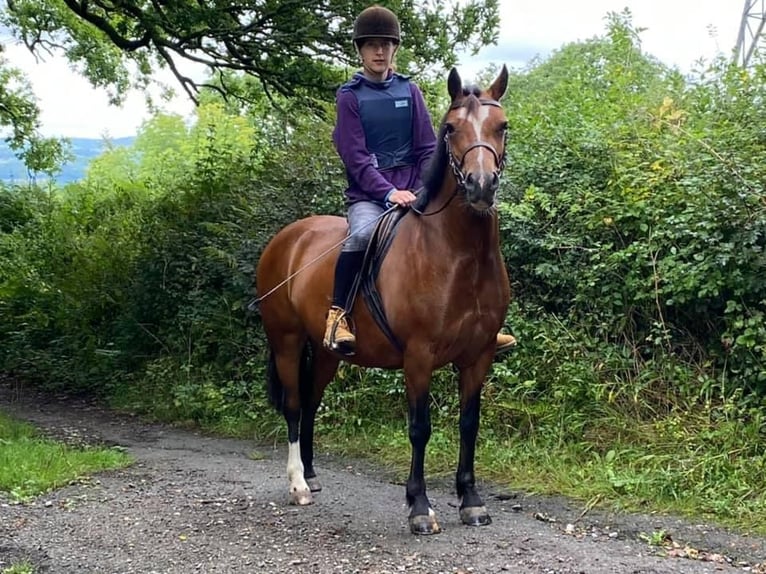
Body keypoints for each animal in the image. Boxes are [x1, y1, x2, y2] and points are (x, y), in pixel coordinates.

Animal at [258, 66, 516, 536]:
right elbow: (420, 428)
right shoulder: (419, 355)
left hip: (327, 353)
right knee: (293, 405)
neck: (458, 254)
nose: (480, 186)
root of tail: (287, 237)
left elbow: (469, 424)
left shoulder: (479, 354)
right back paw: (298, 484)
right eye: (451, 129)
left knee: (311, 401)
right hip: (285, 341)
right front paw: (419, 507)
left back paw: (312, 474)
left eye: (501, 126)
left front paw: (471, 501)